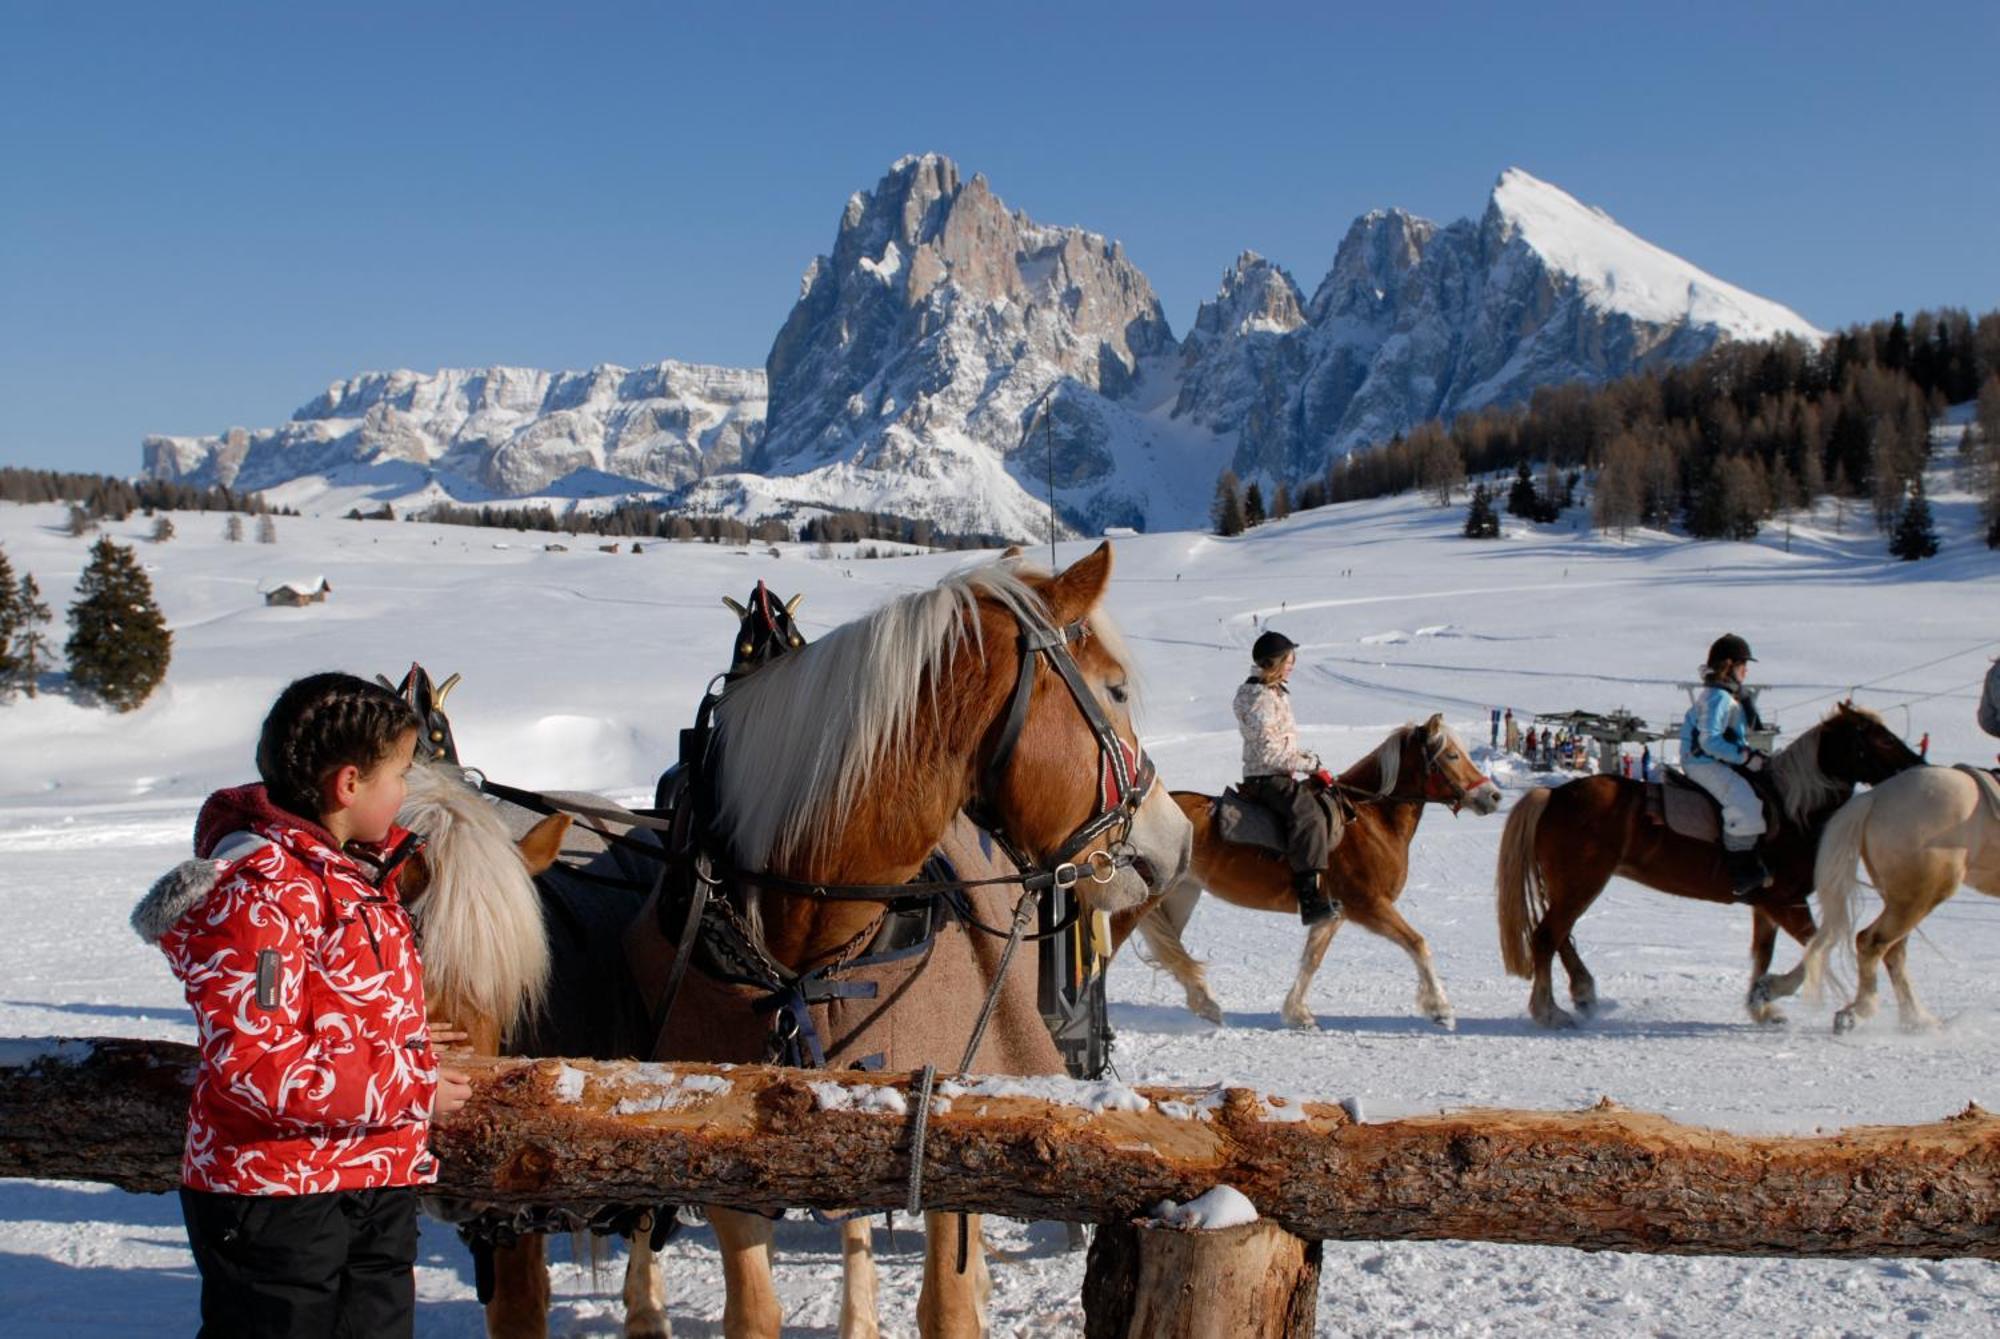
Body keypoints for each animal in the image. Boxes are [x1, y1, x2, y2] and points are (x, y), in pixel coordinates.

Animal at [1112, 719, 1504, 1031]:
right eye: (1451, 756)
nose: (1493, 796)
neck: (1367, 819)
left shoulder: (1333, 912)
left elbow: (1311, 960)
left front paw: (1297, 1013)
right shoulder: (1369, 906)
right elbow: (1418, 944)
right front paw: (1440, 1009)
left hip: (1181, 895)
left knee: (1169, 950)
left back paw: (1205, 1004)